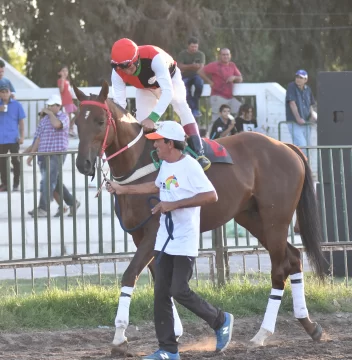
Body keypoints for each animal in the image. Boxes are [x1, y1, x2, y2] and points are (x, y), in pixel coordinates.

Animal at [73, 81, 326, 352]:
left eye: (100, 121)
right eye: (76, 121)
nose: (83, 164)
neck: (139, 165)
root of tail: (285, 146)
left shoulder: (153, 234)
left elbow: (131, 274)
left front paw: (120, 334)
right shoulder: (140, 236)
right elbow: (159, 280)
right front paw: (174, 330)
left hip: (275, 219)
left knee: (279, 269)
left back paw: (263, 333)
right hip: (252, 218)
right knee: (294, 257)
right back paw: (309, 325)